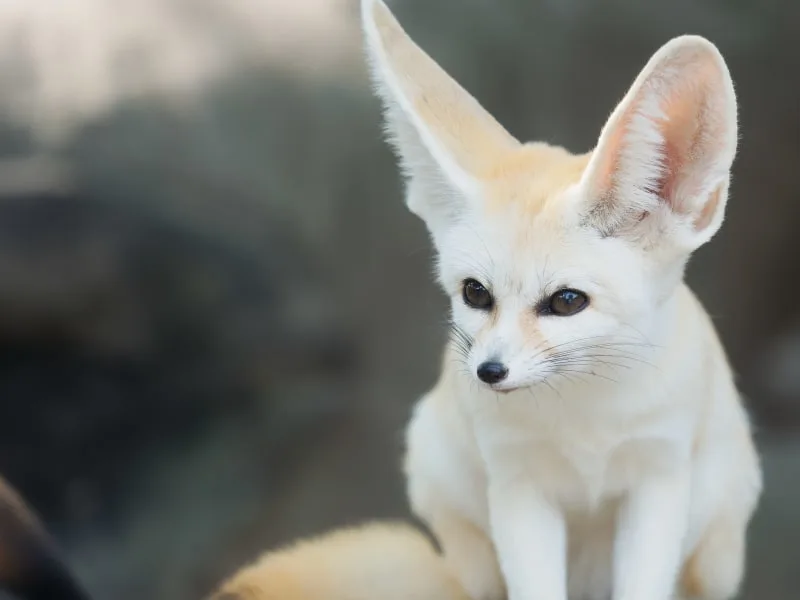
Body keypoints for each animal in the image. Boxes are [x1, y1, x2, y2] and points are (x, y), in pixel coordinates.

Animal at [360, 1, 763, 600]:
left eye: (567, 301)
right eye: (475, 293)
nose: (488, 371)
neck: (585, 419)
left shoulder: (658, 479)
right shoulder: (519, 487)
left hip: (718, 555)